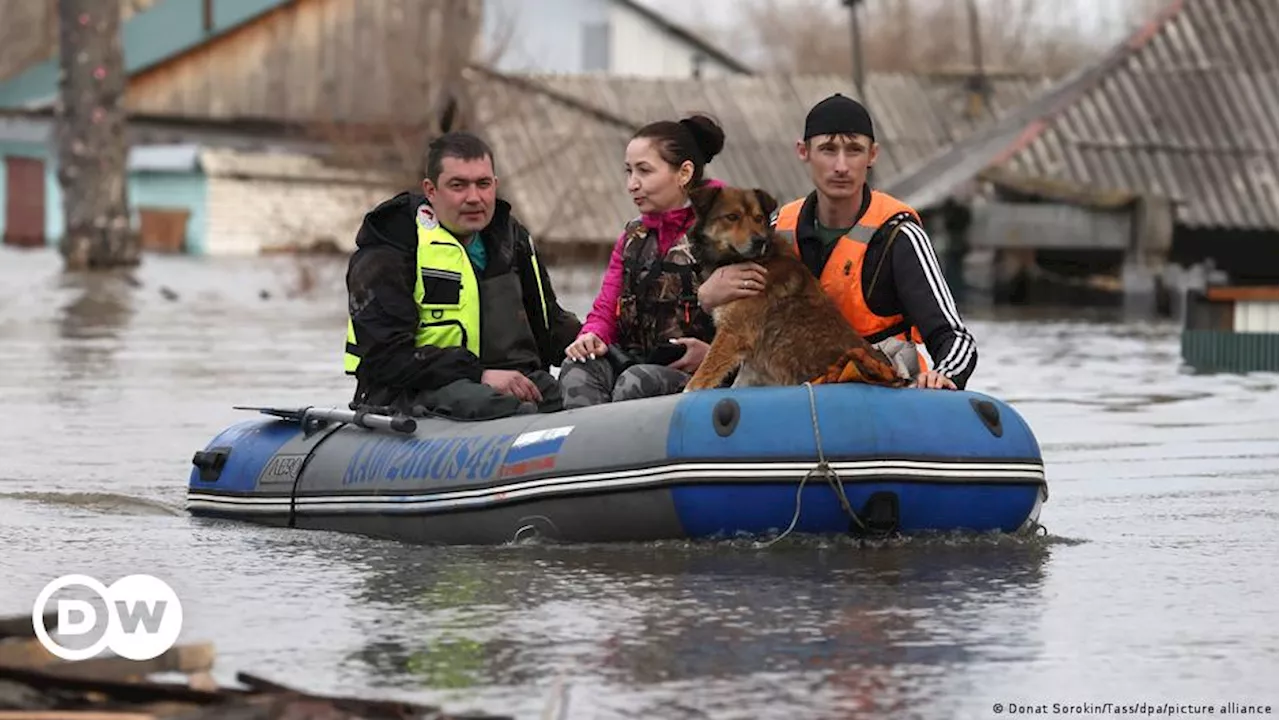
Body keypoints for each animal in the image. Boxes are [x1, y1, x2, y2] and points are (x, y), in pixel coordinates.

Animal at [686, 181, 906, 389]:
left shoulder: (734, 333)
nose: (759, 241)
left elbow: (699, 379)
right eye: (732, 217)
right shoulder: (750, 357)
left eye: (758, 218)